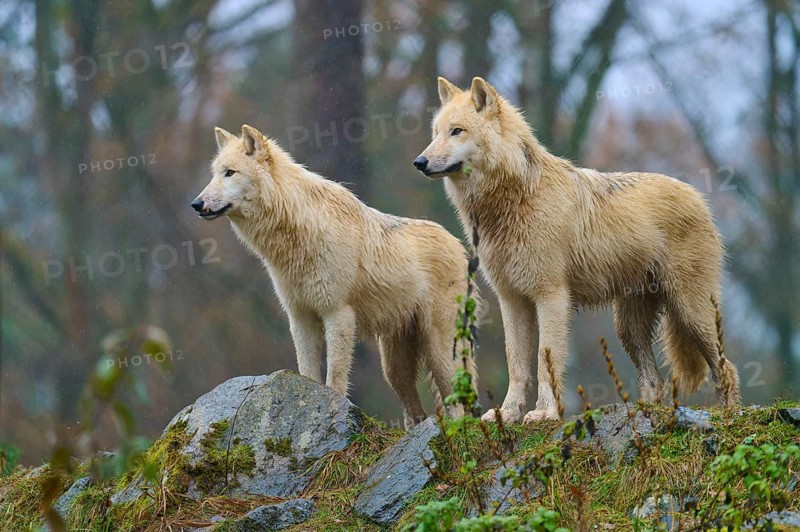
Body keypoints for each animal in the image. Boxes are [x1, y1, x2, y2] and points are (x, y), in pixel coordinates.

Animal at [192, 125, 474, 428]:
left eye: (230, 173)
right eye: (214, 174)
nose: (196, 203)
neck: (296, 235)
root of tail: (459, 245)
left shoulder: (338, 314)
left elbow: (335, 379)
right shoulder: (300, 318)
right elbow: (307, 372)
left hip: (440, 351)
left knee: (459, 401)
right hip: (394, 367)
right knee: (414, 410)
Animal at [413, 77, 740, 423]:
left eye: (457, 131)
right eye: (436, 133)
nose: (419, 162)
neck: (513, 198)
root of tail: (697, 196)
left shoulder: (552, 296)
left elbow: (546, 361)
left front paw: (545, 413)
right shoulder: (511, 300)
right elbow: (516, 364)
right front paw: (509, 413)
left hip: (690, 312)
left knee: (726, 368)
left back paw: (729, 414)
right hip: (629, 328)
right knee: (655, 380)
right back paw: (642, 413)